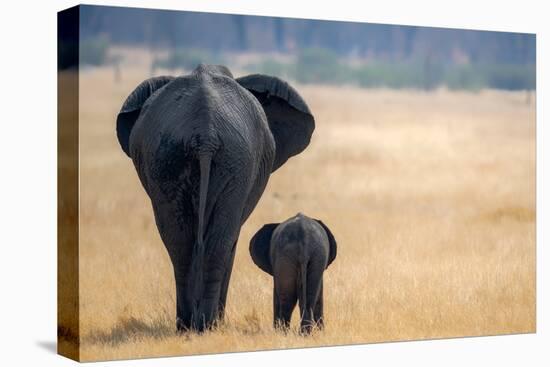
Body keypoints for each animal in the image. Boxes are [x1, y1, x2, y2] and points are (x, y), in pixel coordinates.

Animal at [115, 64, 314, 334]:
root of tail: (205, 132)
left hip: (174, 158)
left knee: (181, 241)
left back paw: (189, 325)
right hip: (225, 161)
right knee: (218, 241)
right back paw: (206, 325)